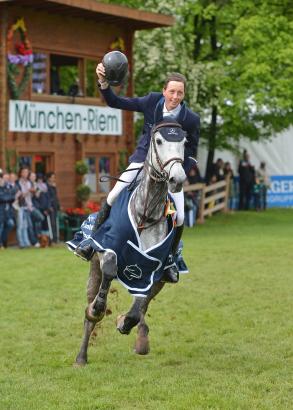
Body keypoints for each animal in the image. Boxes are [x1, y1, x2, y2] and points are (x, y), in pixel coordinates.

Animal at [74, 119, 186, 366]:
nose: (177, 179)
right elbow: (109, 269)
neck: (146, 214)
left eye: (184, 142)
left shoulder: (151, 269)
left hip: (159, 279)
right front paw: (97, 309)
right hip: (93, 270)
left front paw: (123, 322)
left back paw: (141, 339)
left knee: (143, 306)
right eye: (158, 141)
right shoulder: (107, 249)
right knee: (90, 312)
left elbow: (137, 308)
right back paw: (81, 356)